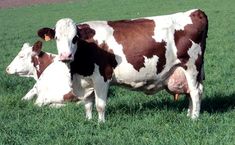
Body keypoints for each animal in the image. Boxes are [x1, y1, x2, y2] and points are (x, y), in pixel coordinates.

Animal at [36, 9, 207, 122]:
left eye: (75, 38)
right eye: (57, 38)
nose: (66, 56)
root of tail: (195, 12)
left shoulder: (102, 77)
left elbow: (100, 104)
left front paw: (101, 123)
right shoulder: (86, 81)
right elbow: (88, 104)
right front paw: (89, 121)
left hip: (192, 66)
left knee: (195, 92)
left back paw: (194, 118)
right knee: (190, 92)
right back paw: (189, 113)